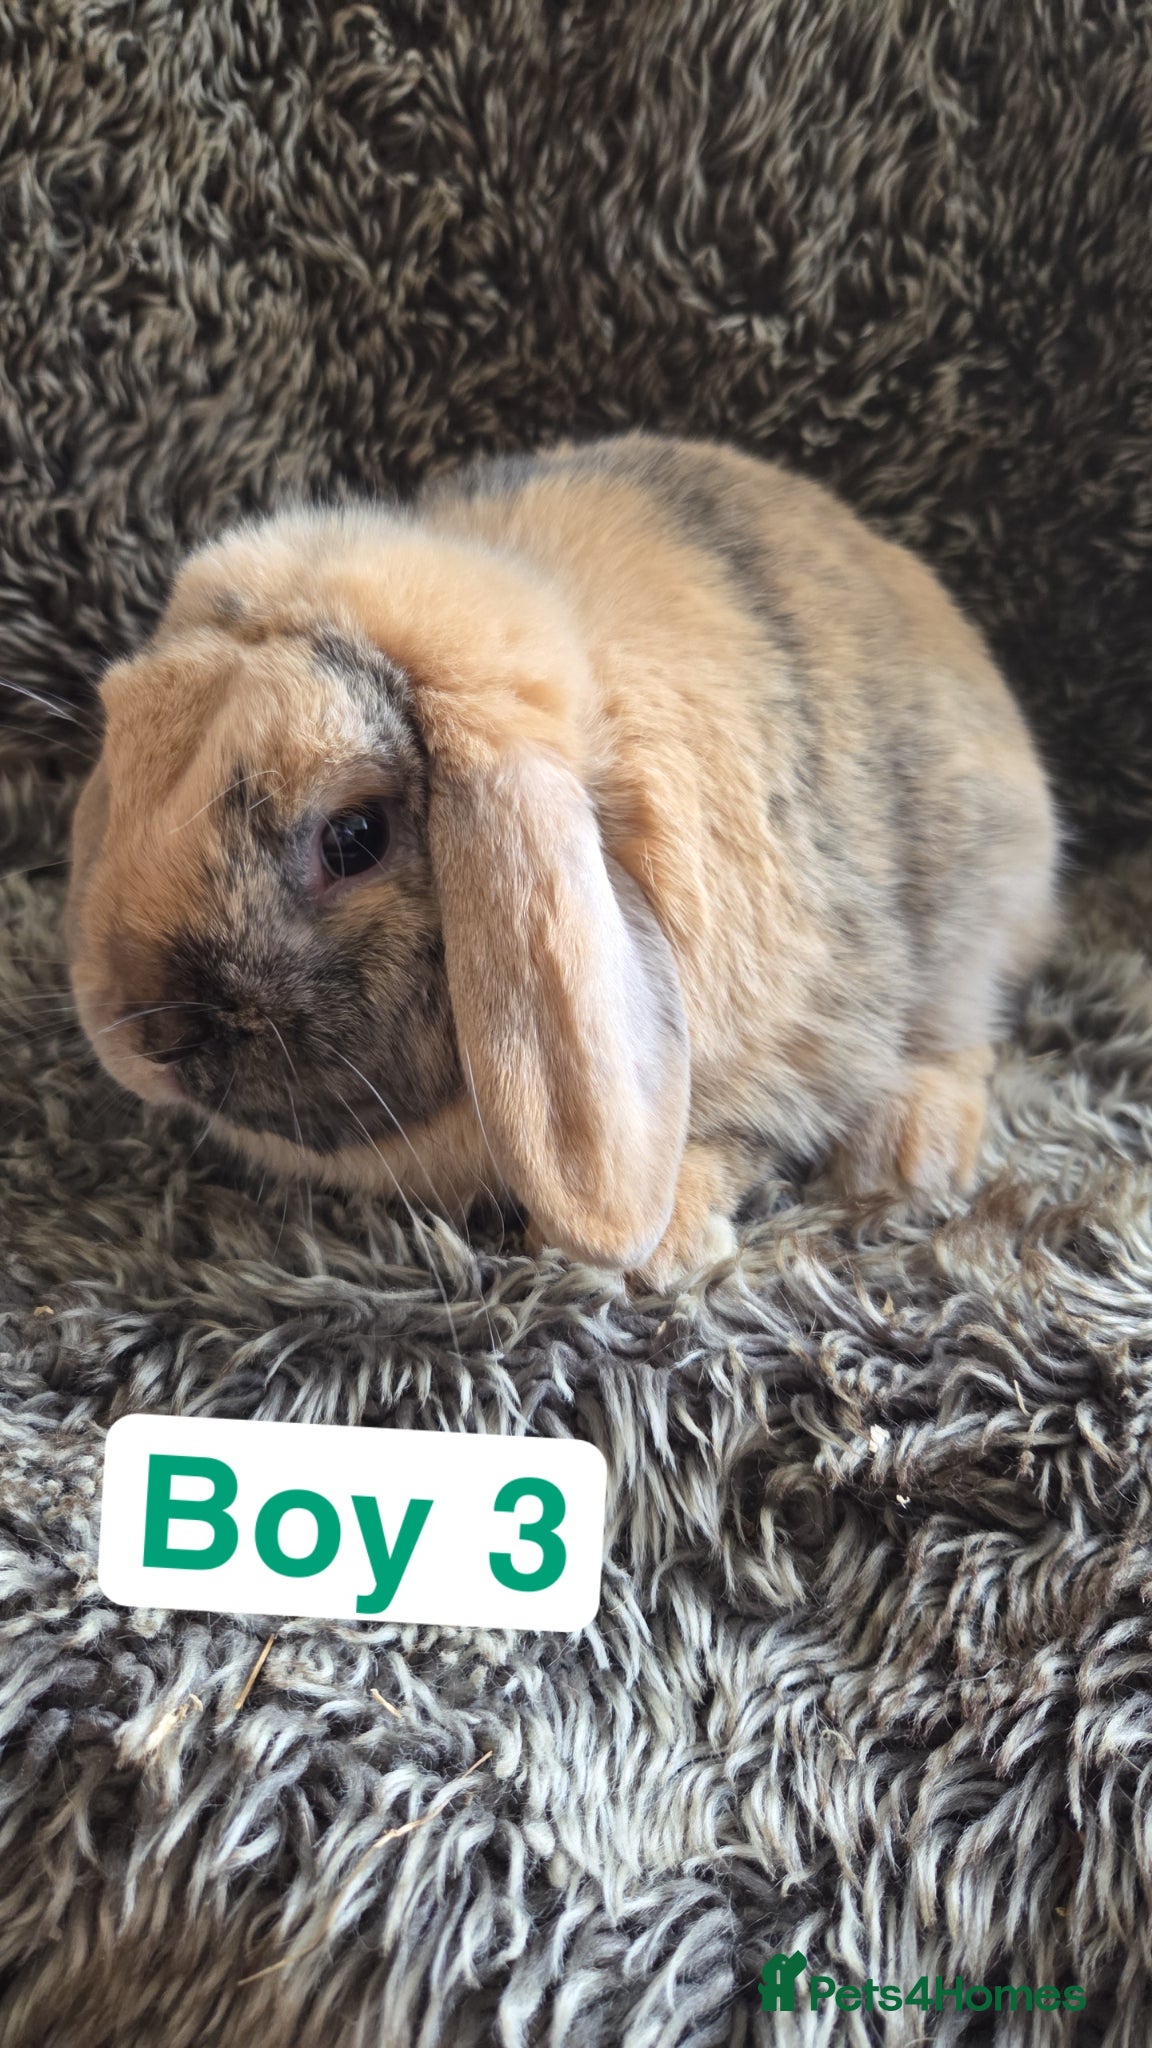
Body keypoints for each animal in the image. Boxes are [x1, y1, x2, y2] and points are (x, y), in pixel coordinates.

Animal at [66, 432, 1059, 1290]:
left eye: (353, 838)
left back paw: (906, 1157)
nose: (147, 1040)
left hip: (979, 894)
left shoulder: (799, 1029)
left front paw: (660, 1253)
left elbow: (735, 1130)